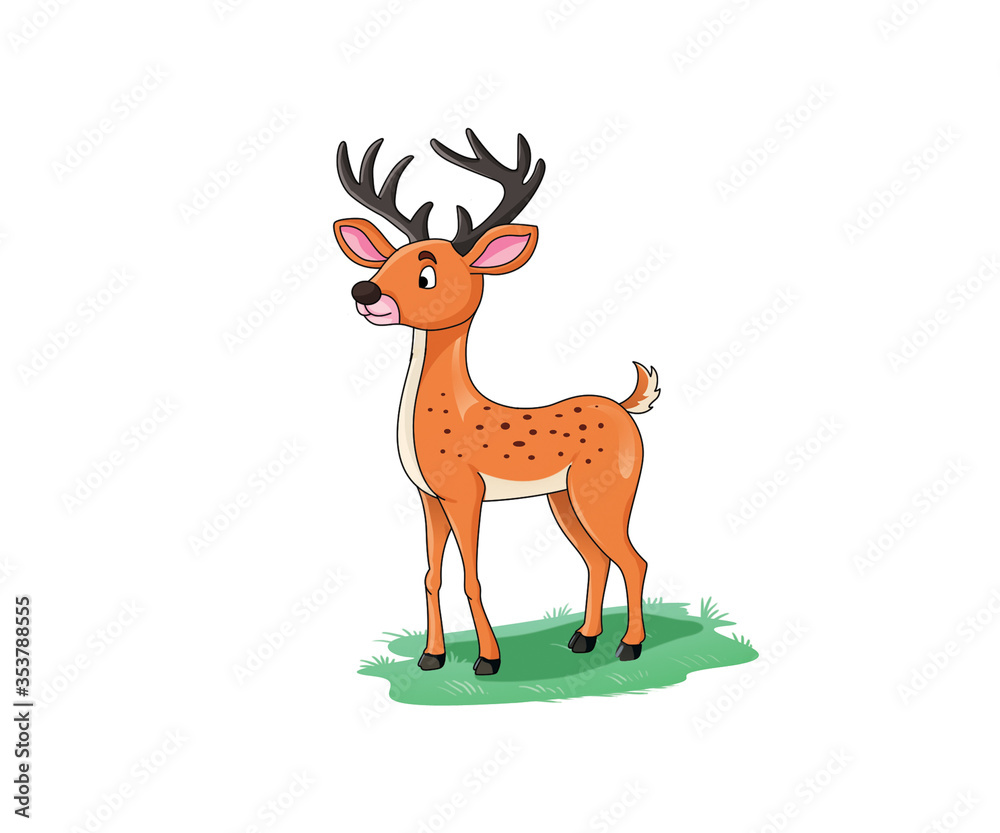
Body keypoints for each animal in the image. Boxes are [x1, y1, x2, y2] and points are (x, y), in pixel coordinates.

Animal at [334, 130, 660, 676]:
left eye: (427, 275)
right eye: (385, 260)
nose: (365, 290)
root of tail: (625, 405)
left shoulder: (467, 493)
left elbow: (472, 576)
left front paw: (487, 661)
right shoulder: (428, 496)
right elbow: (431, 575)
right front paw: (431, 657)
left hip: (610, 488)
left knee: (632, 559)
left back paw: (628, 646)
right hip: (563, 497)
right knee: (596, 559)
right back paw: (583, 638)